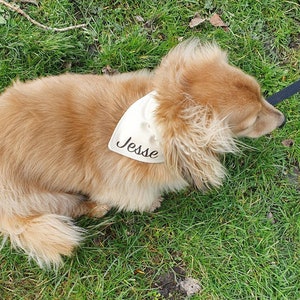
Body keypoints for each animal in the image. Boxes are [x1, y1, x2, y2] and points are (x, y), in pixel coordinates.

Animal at [0, 39, 284, 268]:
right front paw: (154, 202)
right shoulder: (123, 187)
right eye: (253, 120)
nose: (282, 120)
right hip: (46, 198)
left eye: (261, 95)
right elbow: (139, 198)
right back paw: (96, 208)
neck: (156, 123)